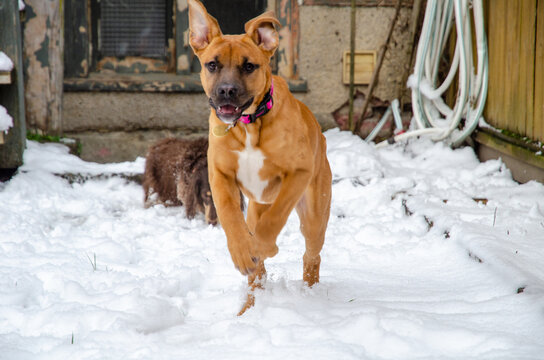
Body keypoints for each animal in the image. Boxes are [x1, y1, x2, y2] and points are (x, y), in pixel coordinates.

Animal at [187, 0, 332, 316]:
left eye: (249, 66)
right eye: (212, 64)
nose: (227, 91)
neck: (249, 124)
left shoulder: (298, 174)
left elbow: (275, 219)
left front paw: (263, 248)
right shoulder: (220, 175)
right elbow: (230, 217)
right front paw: (243, 253)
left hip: (314, 215)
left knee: (311, 256)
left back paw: (309, 292)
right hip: (254, 209)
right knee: (257, 268)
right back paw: (249, 306)